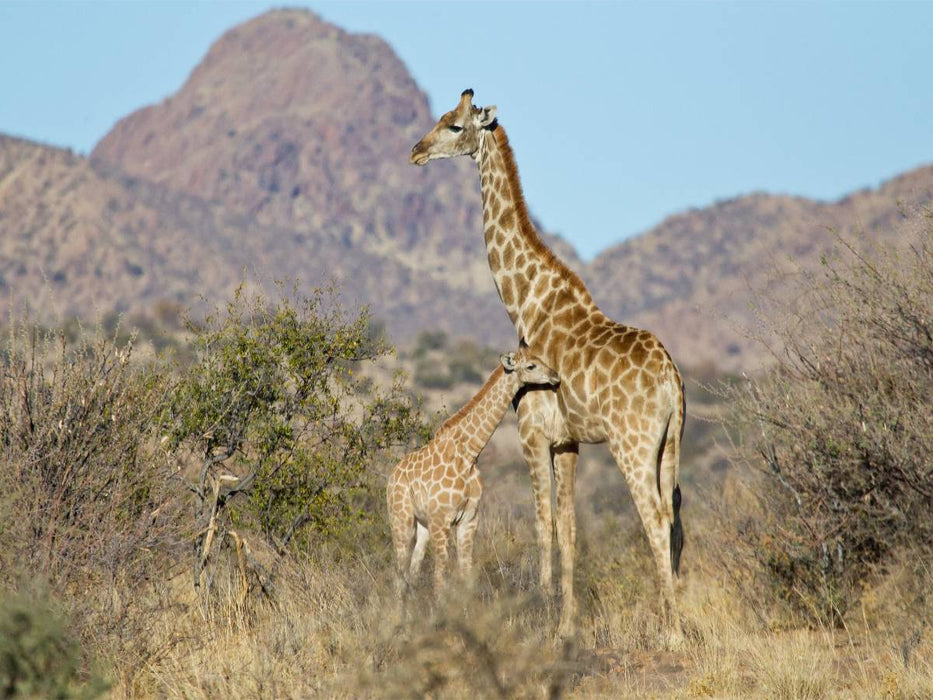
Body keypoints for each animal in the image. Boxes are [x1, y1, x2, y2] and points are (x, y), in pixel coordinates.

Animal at [387, 349, 559, 612]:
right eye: (531, 366)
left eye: (541, 359)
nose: (555, 376)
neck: (468, 453)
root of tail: (391, 477)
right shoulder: (441, 520)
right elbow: (440, 574)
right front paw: (442, 616)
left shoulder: (469, 518)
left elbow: (465, 572)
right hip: (401, 518)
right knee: (399, 570)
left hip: (423, 524)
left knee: (412, 571)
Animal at [410, 89, 686, 643]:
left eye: (453, 126)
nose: (416, 152)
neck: (527, 302)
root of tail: (671, 381)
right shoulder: (568, 442)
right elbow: (570, 530)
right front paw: (566, 624)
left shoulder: (531, 433)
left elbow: (543, 526)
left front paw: (540, 616)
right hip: (670, 443)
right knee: (672, 516)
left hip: (632, 444)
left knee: (652, 517)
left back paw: (671, 631)